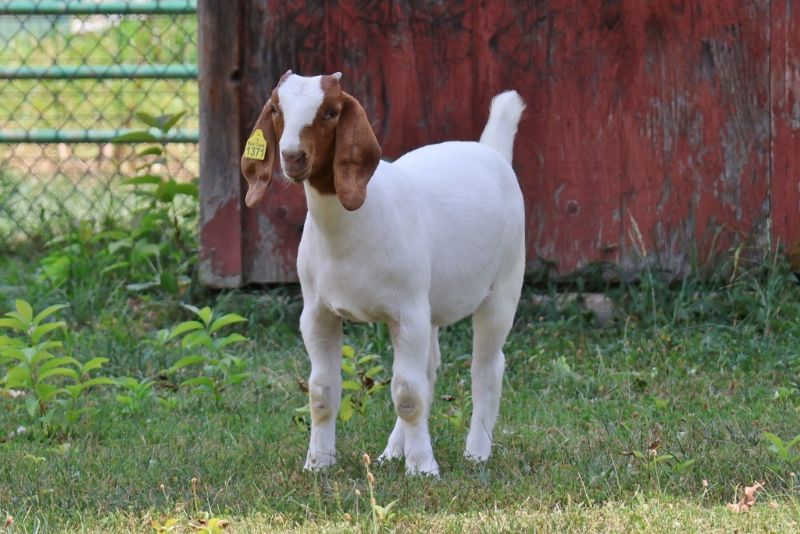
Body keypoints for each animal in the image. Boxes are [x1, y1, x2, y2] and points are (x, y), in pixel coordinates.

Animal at [241, 71, 526, 476]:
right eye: (277, 109)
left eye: (331, 111)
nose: (293, 157)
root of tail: (492, 151)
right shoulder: (318, 313)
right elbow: (321, 392)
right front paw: (318, 462)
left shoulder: (406, 311)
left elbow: (408, 394)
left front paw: (422, 467)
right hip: (429, 309)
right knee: (430, 370)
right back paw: (392, 451)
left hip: (504, 285)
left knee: (486, 367)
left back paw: (476, 452)